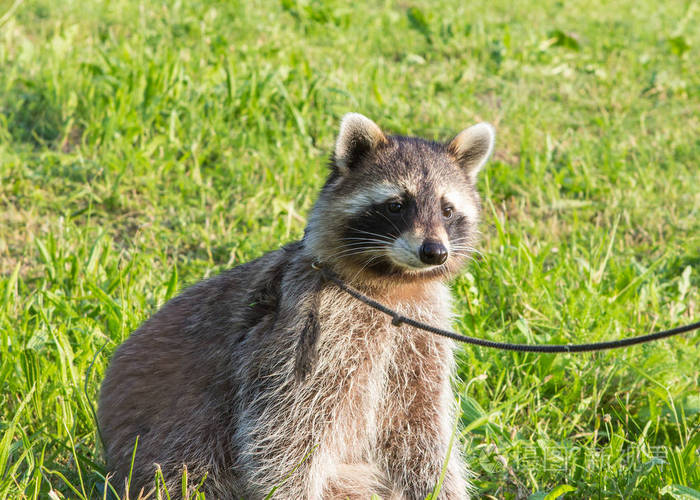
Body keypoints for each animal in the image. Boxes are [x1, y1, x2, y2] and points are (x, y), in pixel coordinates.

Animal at [98, 114, 494, 500]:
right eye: (396, 205)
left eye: (447, 209)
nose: (434, 252)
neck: (394, 283)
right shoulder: (302, 333)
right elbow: (283, 432)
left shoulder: (420, 339)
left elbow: (420, 430)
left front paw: (442, 488)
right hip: (176, 442)